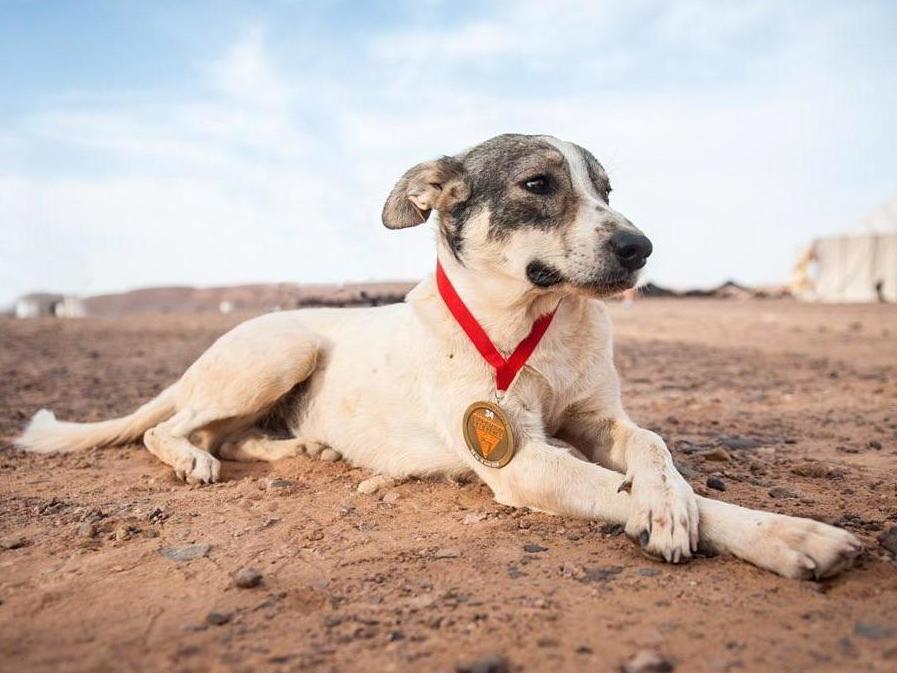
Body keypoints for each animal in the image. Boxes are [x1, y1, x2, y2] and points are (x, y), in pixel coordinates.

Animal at [17, 134, 860, 580]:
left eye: (607, 189)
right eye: (537, 183)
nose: (639, 246)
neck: (534, 323)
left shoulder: (599, 418)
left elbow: (651, 446)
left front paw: (669, 498)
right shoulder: (522, 459)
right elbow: (624, 489)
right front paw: (786, 535)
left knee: (236, 434)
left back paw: (305, 446)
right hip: (282, 349)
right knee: (173, 428)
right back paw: (195, 457)